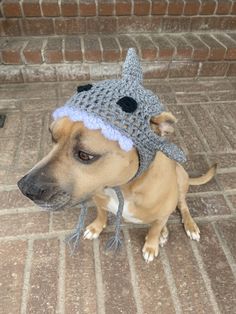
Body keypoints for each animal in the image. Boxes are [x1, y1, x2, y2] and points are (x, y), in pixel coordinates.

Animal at [16, 110, 216, 262]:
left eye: (85, 155)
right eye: (52, 137)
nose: (24, 188)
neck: (121, 187)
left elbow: (154, 230)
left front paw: (151, 245)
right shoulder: (98, 197)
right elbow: (102, 214)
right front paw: (96, 227)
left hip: (181, 178)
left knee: (181, 206)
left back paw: (188, 226)